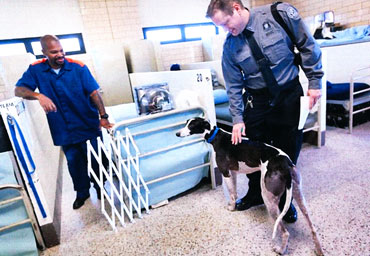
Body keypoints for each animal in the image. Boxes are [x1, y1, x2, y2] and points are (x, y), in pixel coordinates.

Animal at [176, 118, 324, 256]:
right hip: (299, 195)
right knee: (312, 228)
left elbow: (231, 194)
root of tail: (285, 164)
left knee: (285, 232)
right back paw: (318, 249)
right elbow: (235, 192)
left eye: (192, 125)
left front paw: (231, 208)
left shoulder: (226, 172)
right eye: (186, 122)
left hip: (269, 198)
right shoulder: (233, 172)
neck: (215, 135)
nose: (177, 133)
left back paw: (281, 250)